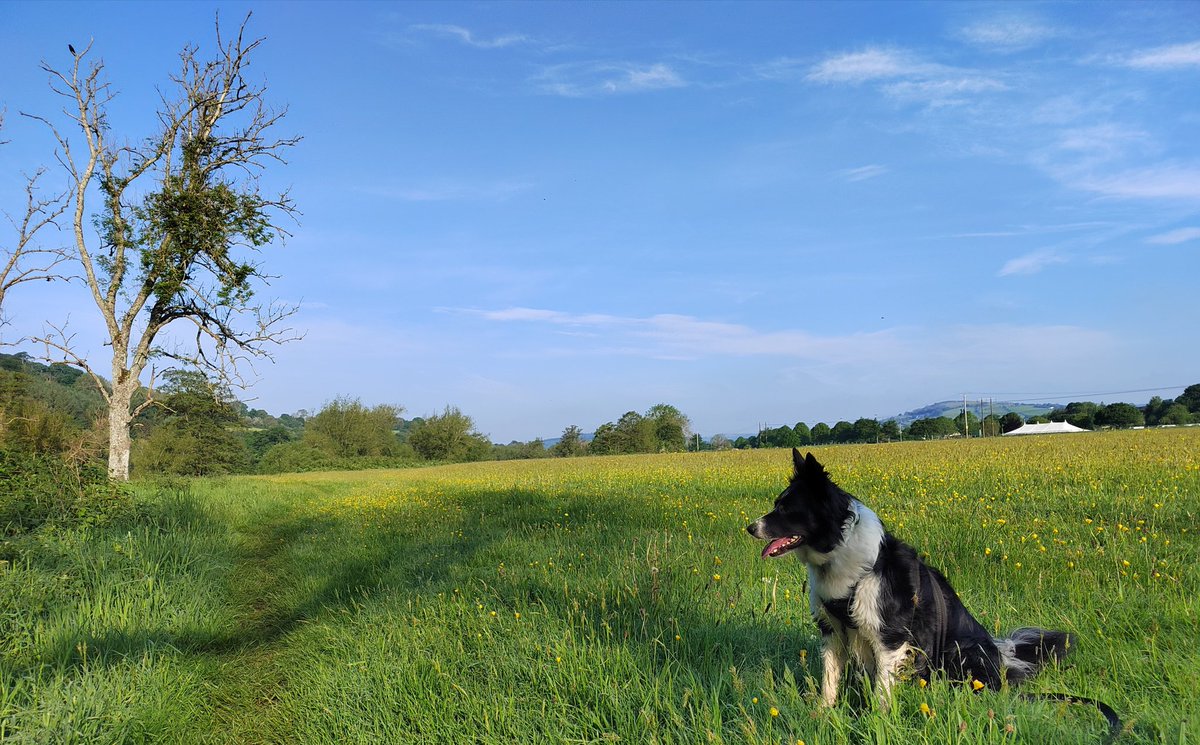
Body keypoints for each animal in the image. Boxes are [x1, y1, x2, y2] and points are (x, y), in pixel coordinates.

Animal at [744, 451, 1075, 705]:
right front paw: (823, 715)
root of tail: (1003, 656)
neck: (839, 552)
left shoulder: (889, 638)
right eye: (776, 504)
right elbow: (829, 680)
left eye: (786, 509)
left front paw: (876, 723)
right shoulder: (833, 631)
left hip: (959, 650)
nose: (750, 527)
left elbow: (881, 693)